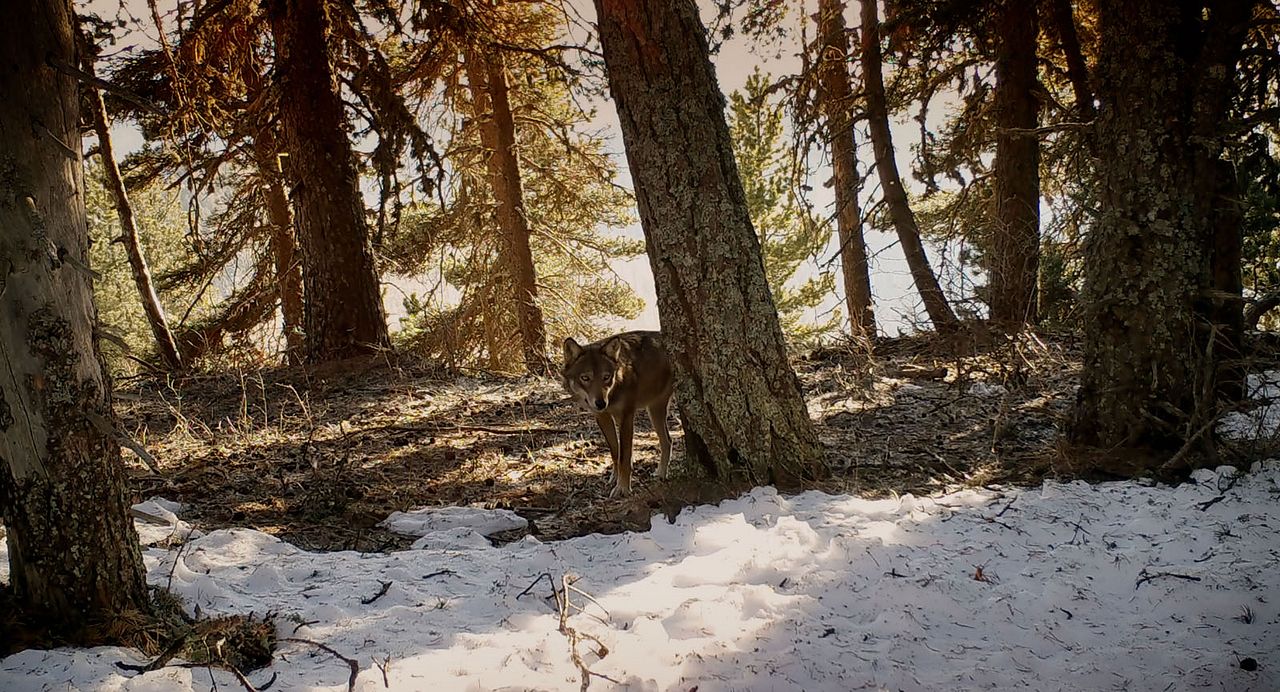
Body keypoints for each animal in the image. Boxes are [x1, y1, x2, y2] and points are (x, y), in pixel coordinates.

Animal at [563, 330, 675, 496]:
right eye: (585, 378)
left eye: (606, 377)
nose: (601, 403)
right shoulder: (603, 417)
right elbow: (615, 452)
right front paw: (614, 477)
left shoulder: (626, 417)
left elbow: (625, 457)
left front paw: (622, 488)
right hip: (653, 410)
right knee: (667, 441)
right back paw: (660, 474)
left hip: (656, 410)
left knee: (667, 441)